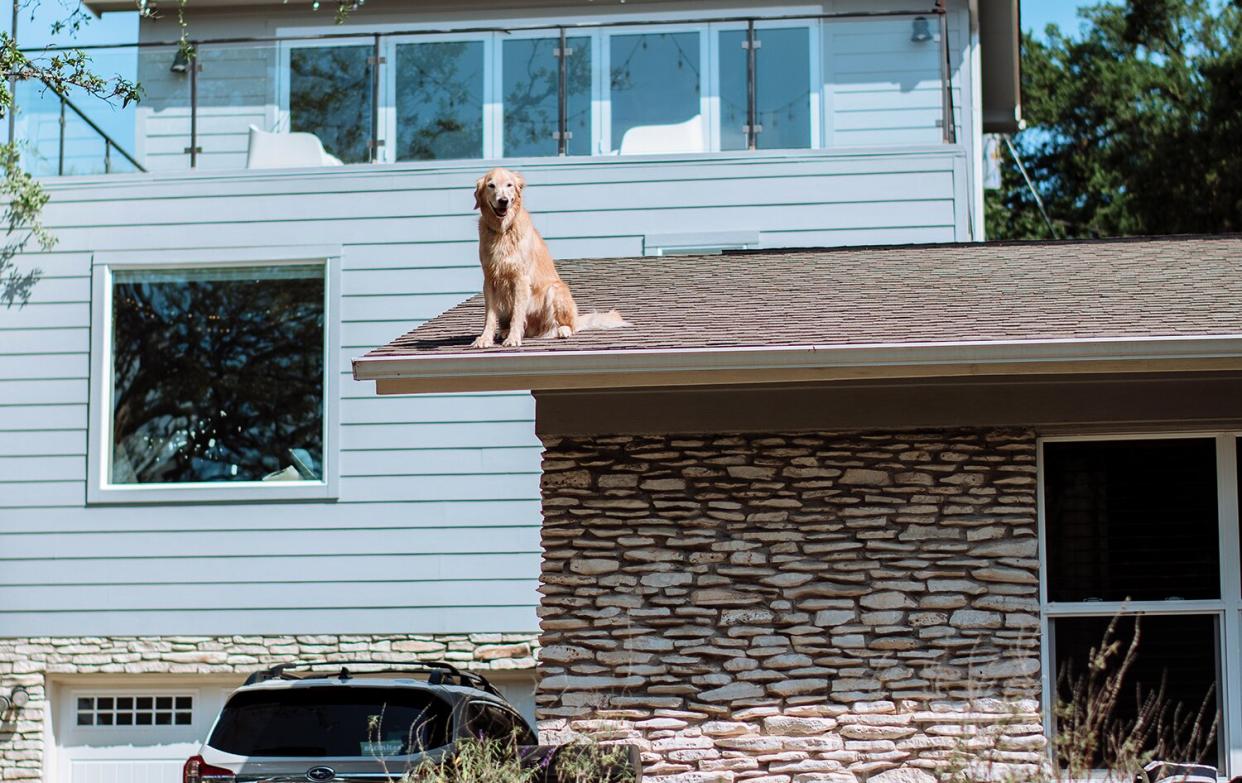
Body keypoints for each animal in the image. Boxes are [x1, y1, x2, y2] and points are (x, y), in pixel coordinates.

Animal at [469, 169, 630, 350]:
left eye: (509, 185)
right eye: (491, 185)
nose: (503, 201)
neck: (503, 231)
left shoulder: (521, 278)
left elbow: (517, 313)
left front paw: (513, 338)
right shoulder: (490, 279)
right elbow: (489, 316)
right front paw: (484, 339)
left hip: (555, 290)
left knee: (566, 325)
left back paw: (562, 330)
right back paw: (504, 331)